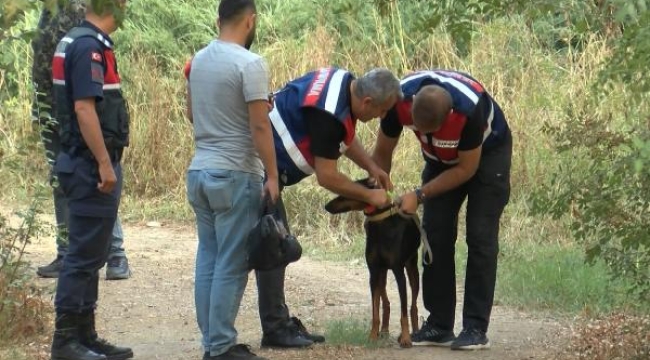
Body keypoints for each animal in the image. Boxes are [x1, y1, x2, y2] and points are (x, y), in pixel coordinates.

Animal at [322, 181, 420, 348]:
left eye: (346, 193)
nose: (326, 206)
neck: (381, 224)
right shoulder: (373, 272)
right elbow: (375, 311)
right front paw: (372, 336)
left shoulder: (398, 271)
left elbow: (403, 312)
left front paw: (406, 338)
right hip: (382, 274)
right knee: (386, 302)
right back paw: (384, 330)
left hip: (412, 268)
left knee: (413, 305)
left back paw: (414, 333)